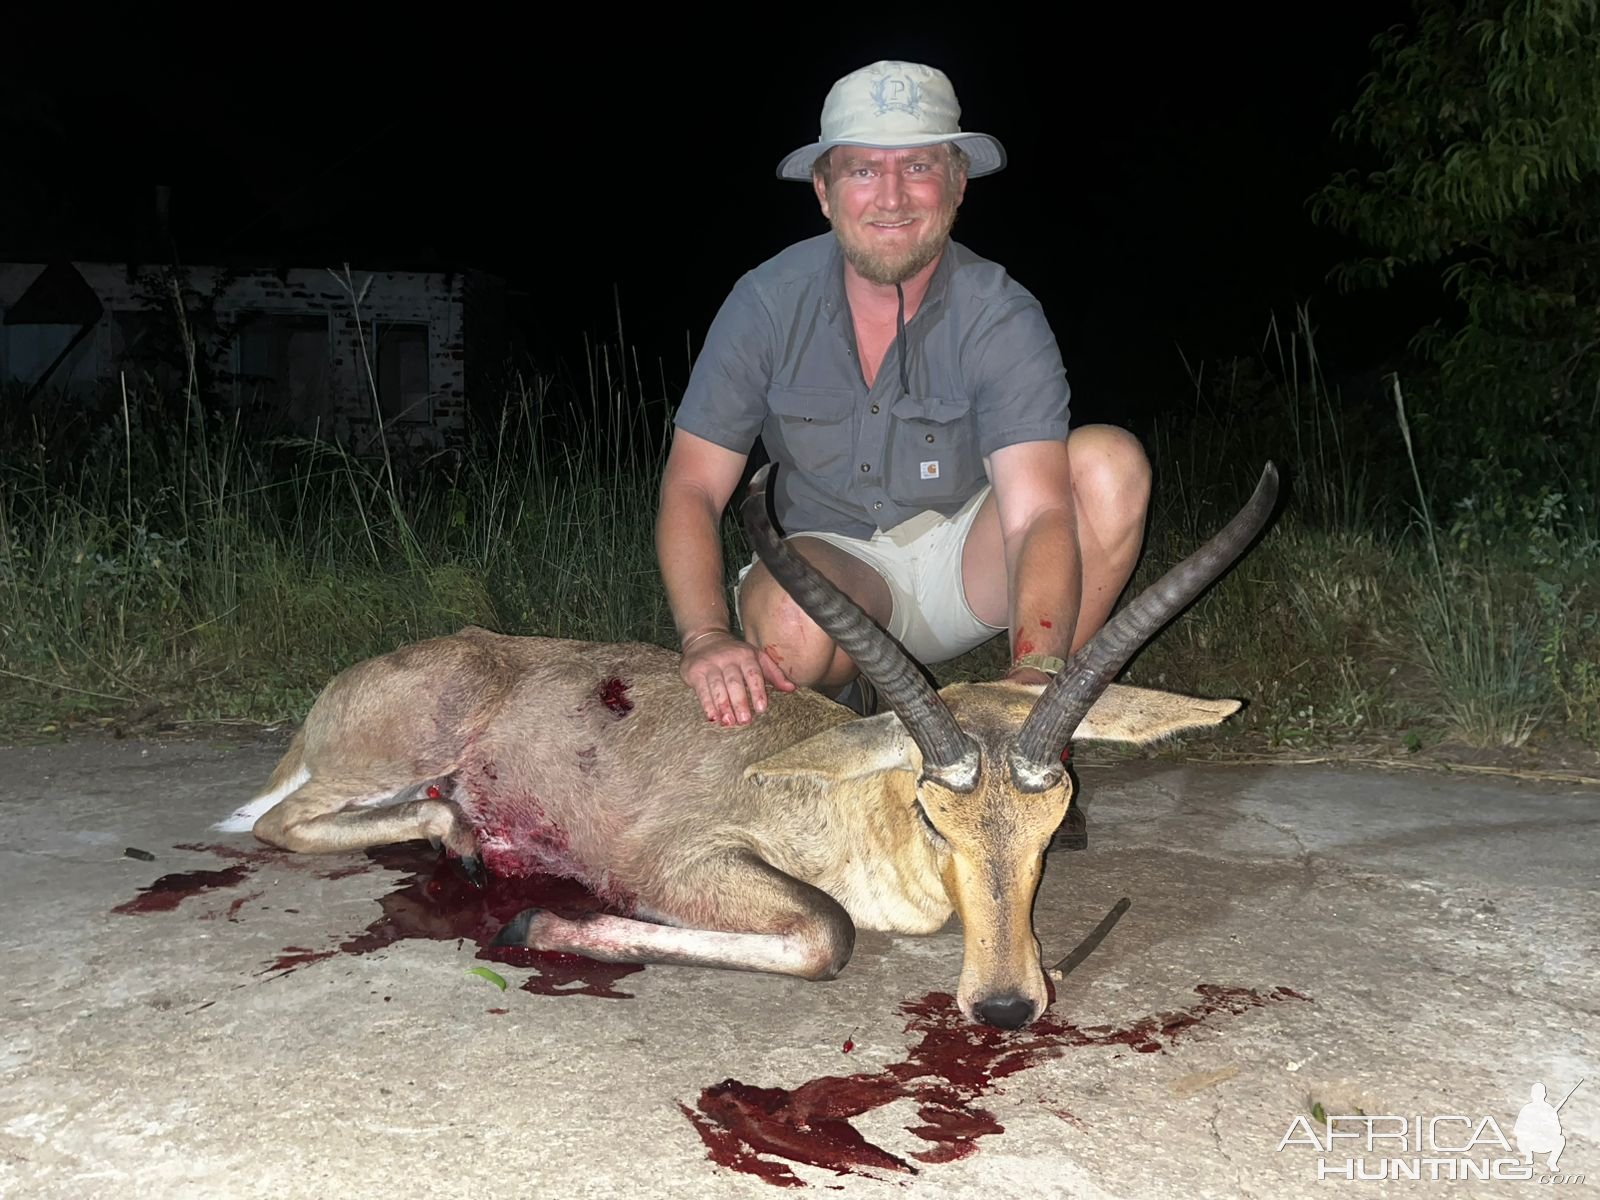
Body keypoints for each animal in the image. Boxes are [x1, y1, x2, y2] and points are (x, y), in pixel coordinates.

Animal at [219, 460, 1280, 1036]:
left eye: (1054, 816)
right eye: (935, 812)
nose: (1007, 1007)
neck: (846, 804)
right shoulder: (684, 860)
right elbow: (826, 931)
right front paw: (542, 923)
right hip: (390, 753)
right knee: (276, 823)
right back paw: (465, 846)